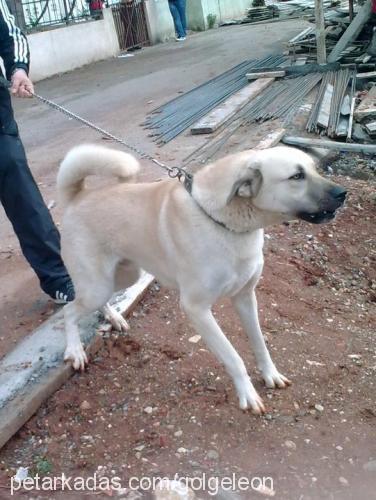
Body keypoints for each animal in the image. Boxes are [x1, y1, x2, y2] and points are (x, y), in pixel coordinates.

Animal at [57, 145, 346, 414]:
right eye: (297, 176)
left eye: (314, 168)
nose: (343, 193)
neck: (224, 222)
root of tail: (77, 196)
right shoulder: (196, 309)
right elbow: (233, 356)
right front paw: (247, 394)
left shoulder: (245, 297)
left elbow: (260, 343)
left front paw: (270, 374)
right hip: (98, 284)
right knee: (69, 310)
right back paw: (75, 350)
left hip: (124, 276)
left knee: (97, 301)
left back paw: (114, 317)